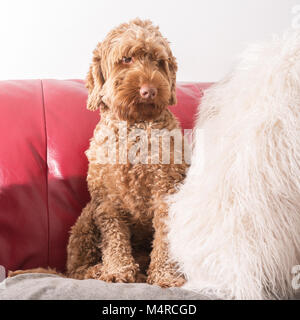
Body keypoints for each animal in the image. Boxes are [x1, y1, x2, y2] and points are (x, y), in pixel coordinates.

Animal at [9, 18, 188, 288]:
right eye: (126, 59)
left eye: (159, 61)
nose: (149, 90)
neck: (135, 126)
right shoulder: (108, 201)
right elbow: (114, 240)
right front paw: (117, 271)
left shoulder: (165, 191)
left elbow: (164, 239)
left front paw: (164, 275)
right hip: (86, 217)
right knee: (77, 270)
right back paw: (98, 270)